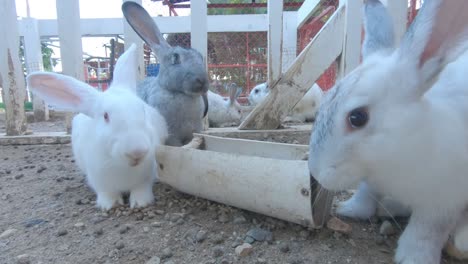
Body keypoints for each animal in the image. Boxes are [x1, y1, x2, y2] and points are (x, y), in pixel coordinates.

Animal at [27, 44, 168, 210]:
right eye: (105, 116)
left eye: (143, 110)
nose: (137, 152)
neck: (122, 165)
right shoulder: (99, 180)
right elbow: (107, 192)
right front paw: (110, 205)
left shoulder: (146, 177)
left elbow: (141, 189)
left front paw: (141, 203)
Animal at [308, 0, 468, 262]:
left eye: (357, 117)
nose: (317, 173)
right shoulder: (371, 178)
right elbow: (365, 194)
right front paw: (349, 209)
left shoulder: (444, 200)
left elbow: (426, 231)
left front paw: (414, 257)